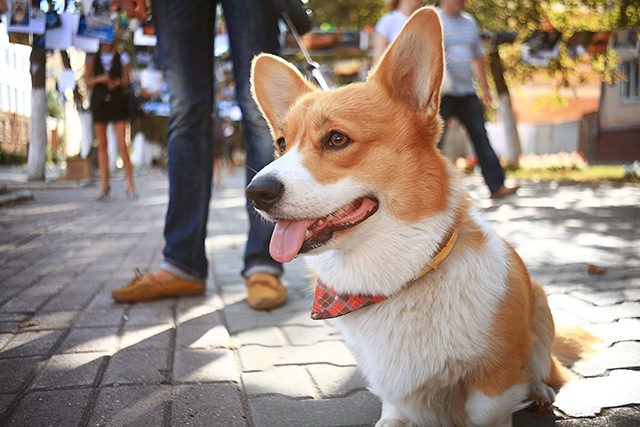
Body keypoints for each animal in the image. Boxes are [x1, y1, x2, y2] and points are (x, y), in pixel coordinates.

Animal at [245, 6, 592, 427]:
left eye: (337, 139)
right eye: (281, 144)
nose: (256, 192)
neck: (397, 280)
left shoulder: (496, 376)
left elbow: (486, 409)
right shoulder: (391, 388)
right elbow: (395, 408)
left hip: (540, 304)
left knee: (548, 366)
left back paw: (539, 390)